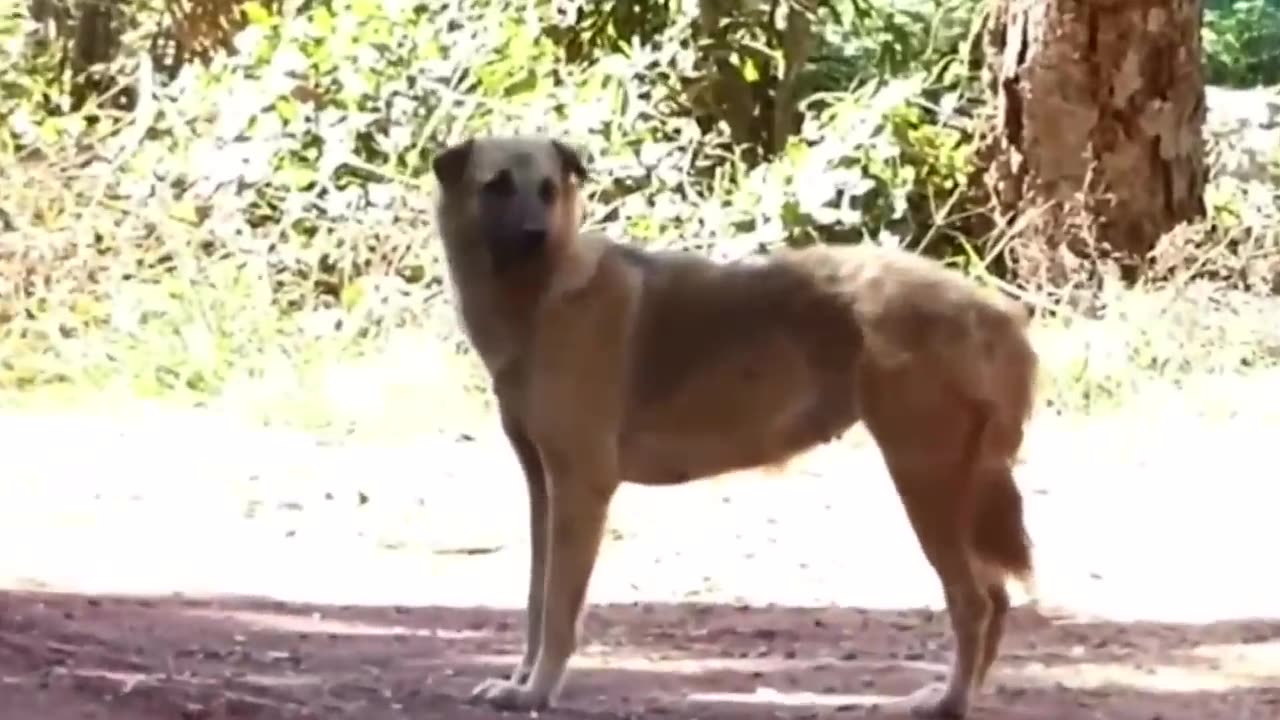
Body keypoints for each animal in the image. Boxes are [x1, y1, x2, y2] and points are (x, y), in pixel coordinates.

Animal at [430, 135, 1039, 717]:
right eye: (497, 185)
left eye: (548, 190)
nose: (536, 236)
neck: (541, 295)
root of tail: (995, 312)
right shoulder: (544, 488)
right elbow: (536, 600)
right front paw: (519, 683)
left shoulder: (581, 487)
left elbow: (558, 609)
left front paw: (535, 693)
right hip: (952, 492)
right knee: (997, 598)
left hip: (925, 481)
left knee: (974, 602)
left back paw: (947, 702)